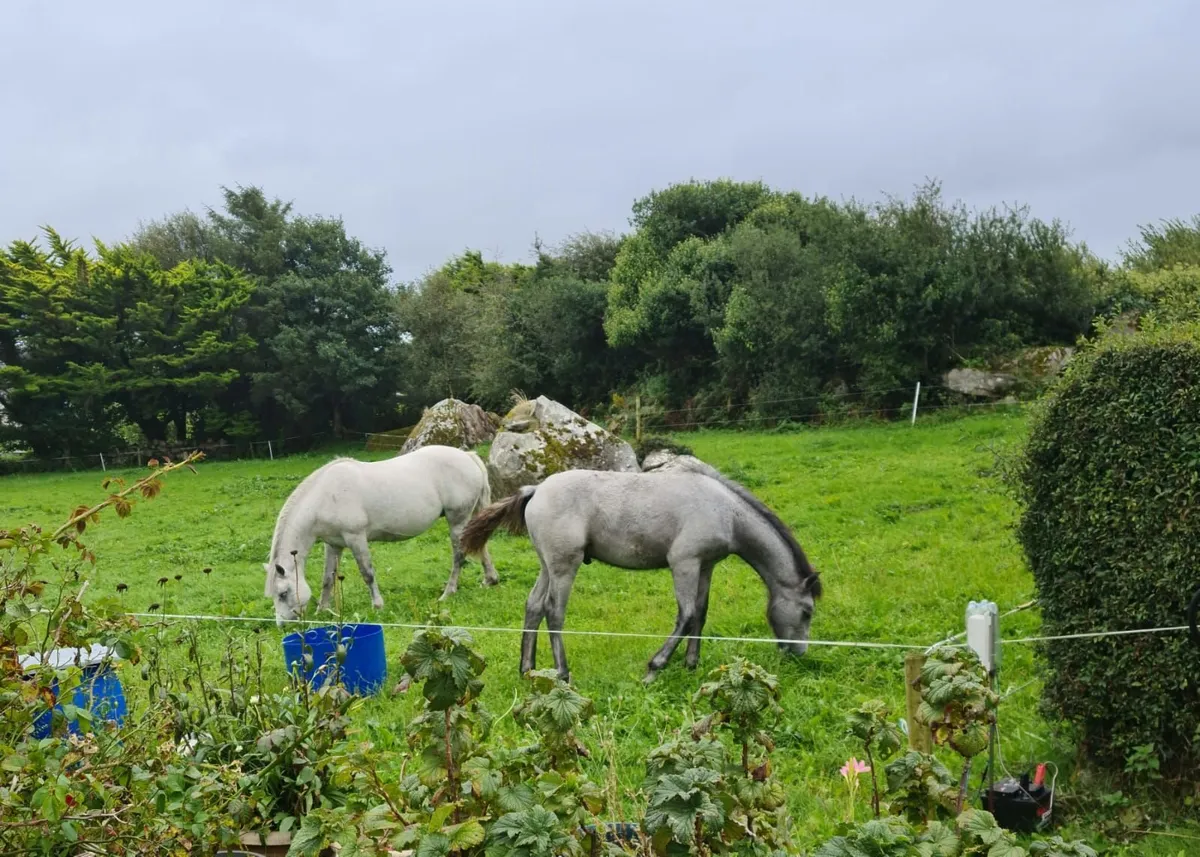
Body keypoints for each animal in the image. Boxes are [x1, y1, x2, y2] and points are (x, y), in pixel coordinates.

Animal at [264, 444, 499, 625]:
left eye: (283, 593)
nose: (282, 625)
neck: (325, 496)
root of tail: (468, 456)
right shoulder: (333, 544)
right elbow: (327, 578)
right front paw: (322, 609)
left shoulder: (356, 538)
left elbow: (367, 573)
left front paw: (377, 605)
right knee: (480, 544)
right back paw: (490, 580)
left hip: (457, 519)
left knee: (459, 555)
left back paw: (448, 593)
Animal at [460, 460, 822, 682]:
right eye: (807, 611)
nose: (800, 653)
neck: (725, 511)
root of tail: (535, 490)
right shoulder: (684, 564)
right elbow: (686, 615)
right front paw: (655, 667)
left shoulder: (705, 566)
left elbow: (700, 613)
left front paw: (691, 664)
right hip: (565, 566)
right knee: (554, 610)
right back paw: (562, 673)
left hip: (548, 566)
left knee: (534, 607)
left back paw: (527, 669)